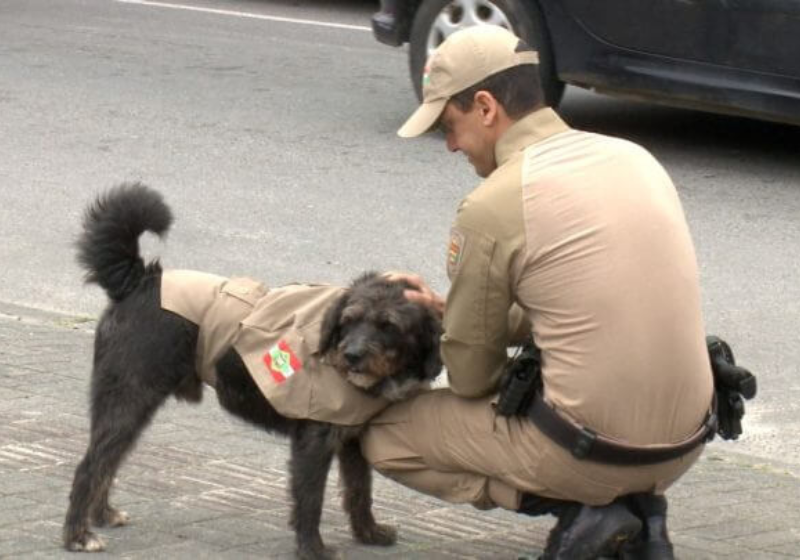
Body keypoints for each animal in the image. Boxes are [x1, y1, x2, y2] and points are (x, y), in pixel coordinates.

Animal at [62, 182, 440, 556]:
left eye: (388, 325)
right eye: (349, 320)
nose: (352, 355)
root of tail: (139, 279)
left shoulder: (352, 440)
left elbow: (360, 491)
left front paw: (369, 533)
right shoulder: (312, 443)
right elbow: (310, 500)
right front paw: (312, 548)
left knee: (107, 462)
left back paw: (102, 515)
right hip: (130, 397)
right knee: (90, 465)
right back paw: (78, 534)